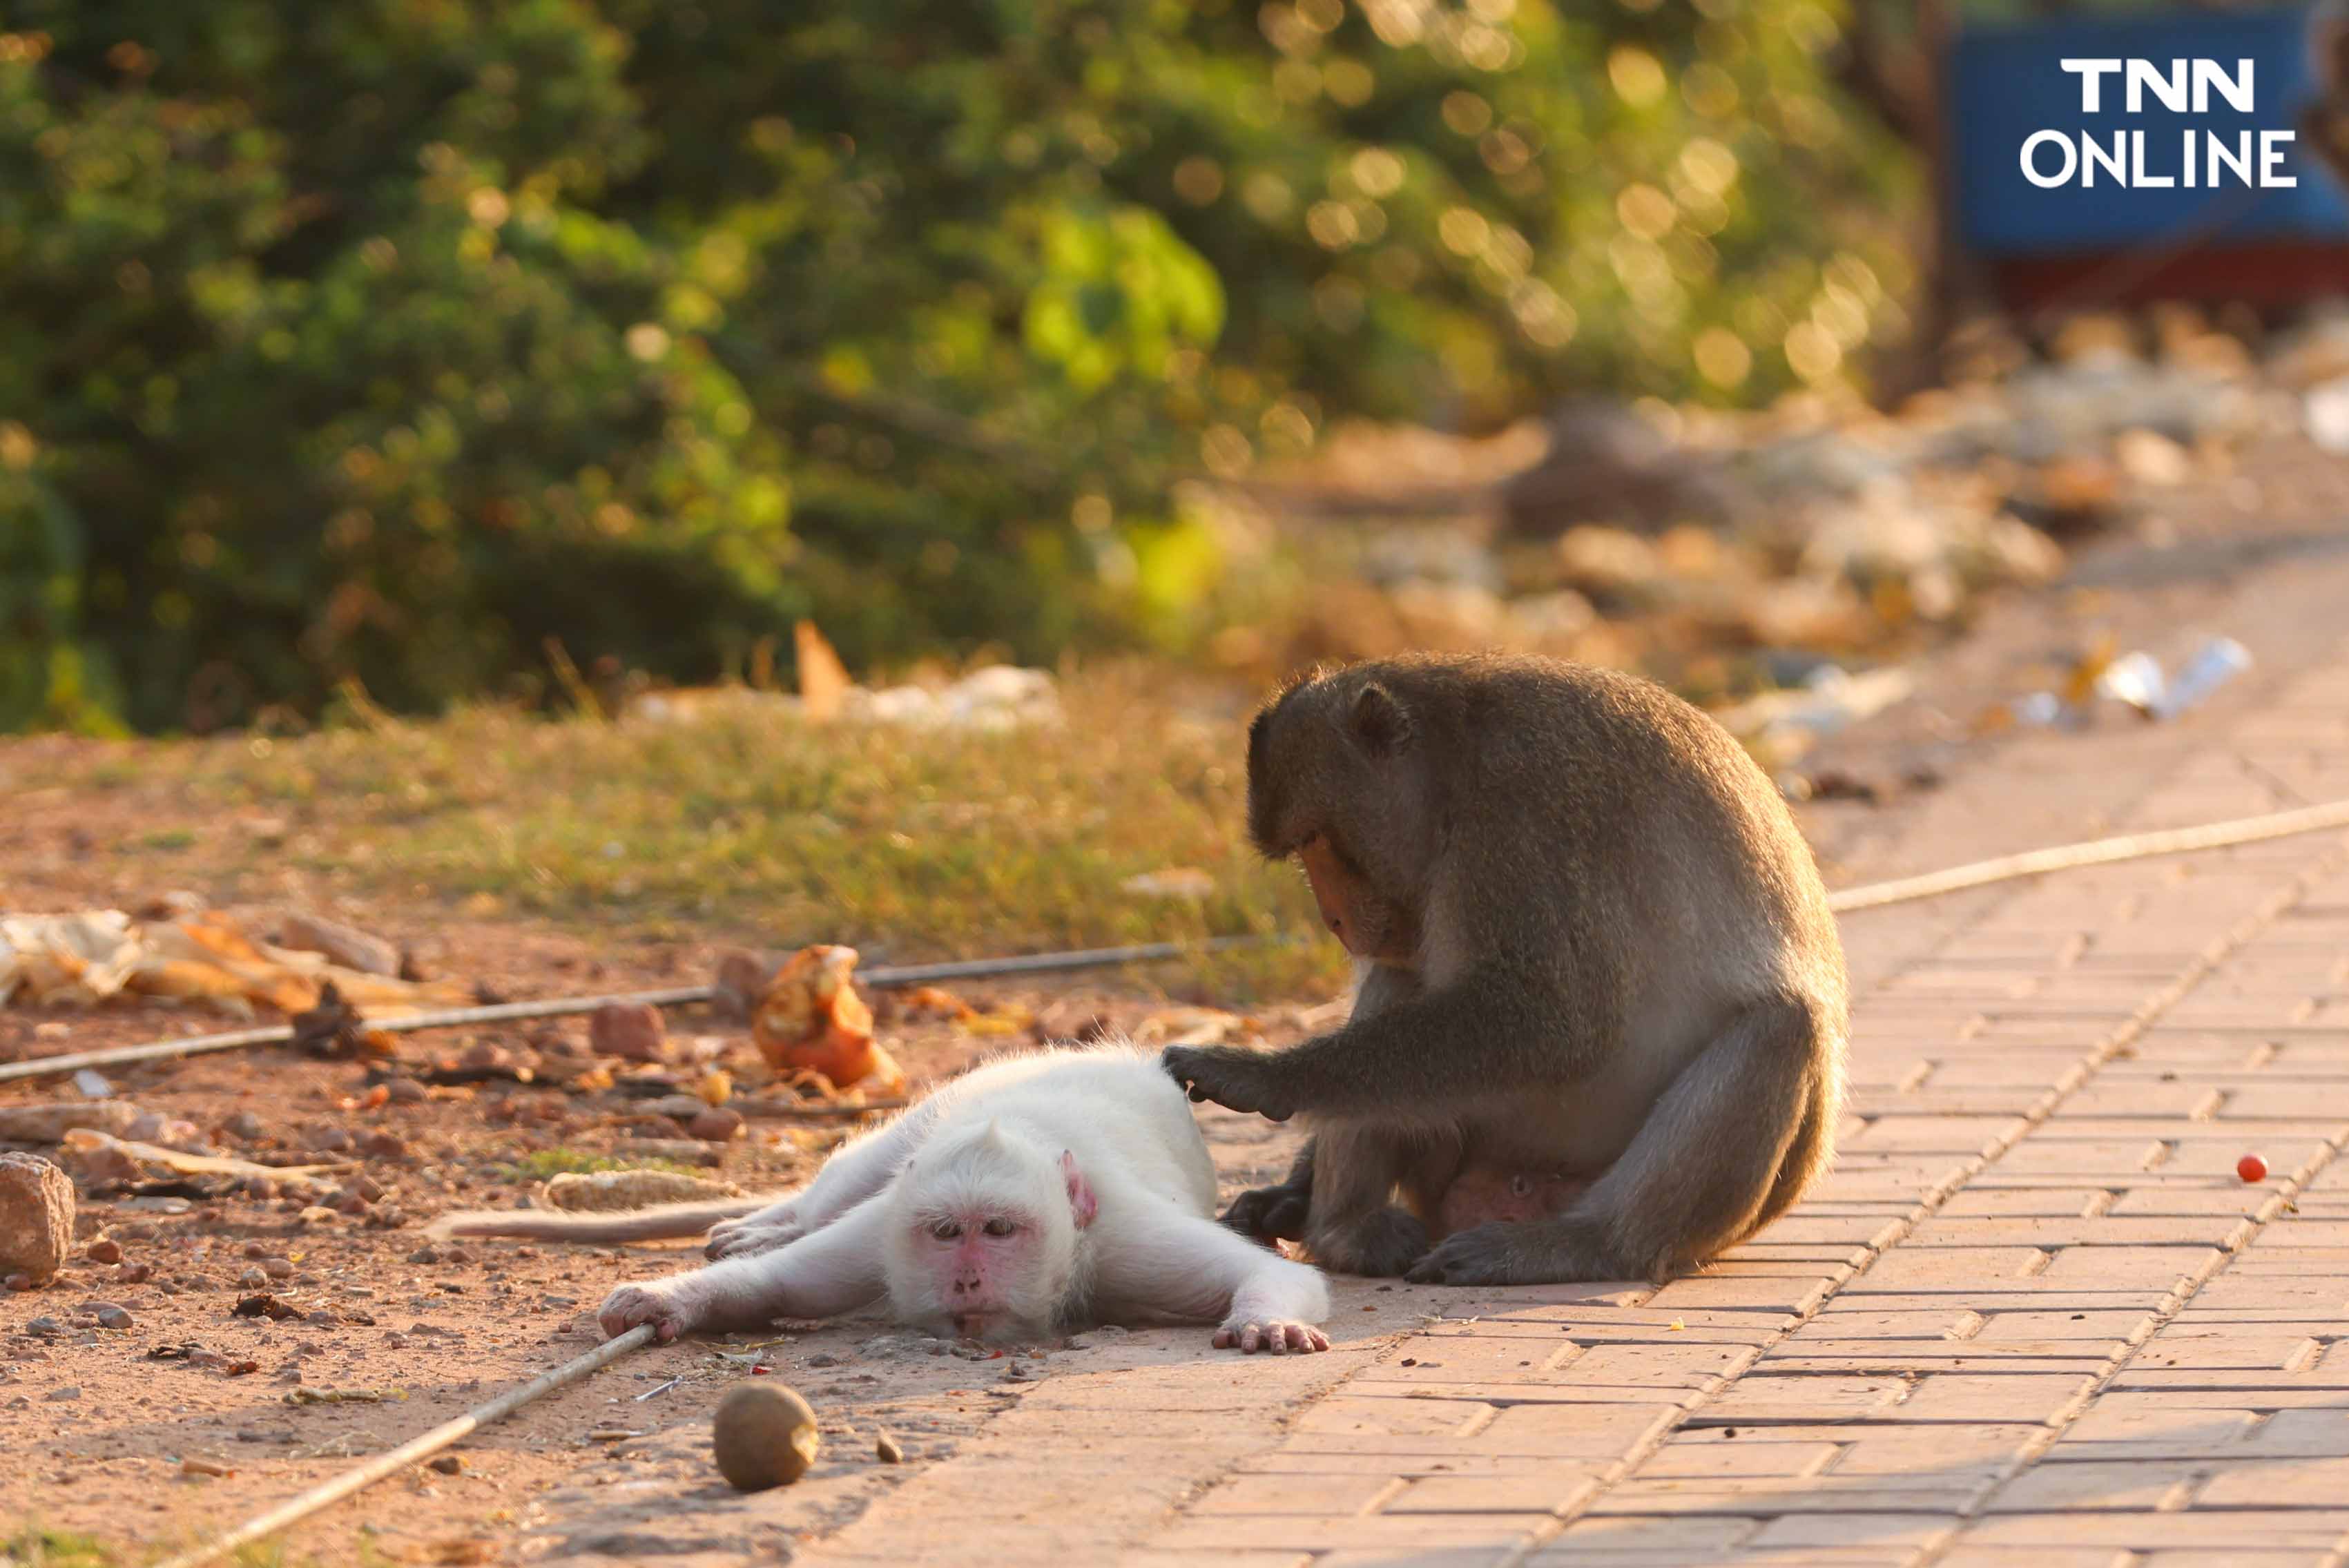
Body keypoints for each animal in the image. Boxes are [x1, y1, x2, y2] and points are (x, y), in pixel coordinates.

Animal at [429, 1047, 1334, 1352]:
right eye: (945, 1234)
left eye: (997, 1231)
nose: (966, 1280)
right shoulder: (884, 1235)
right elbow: (776, 1287)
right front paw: (670, 1299)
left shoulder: (1119, 1239)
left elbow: (1274, 1278)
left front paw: (1266, 1319)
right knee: (851, 1180)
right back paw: (772, 1222)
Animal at [1165, 652, 1842, 1286]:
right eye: (1301, 848)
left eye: (1316, 837)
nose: (1331, 918)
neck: (1451, 769)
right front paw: (1286, 1193)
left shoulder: (1521, 818)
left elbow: (1558, 1021)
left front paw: (1266, 1076)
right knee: (1400, 985)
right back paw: (1346, 1227)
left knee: (1783, 1028)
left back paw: (1582, 1242)